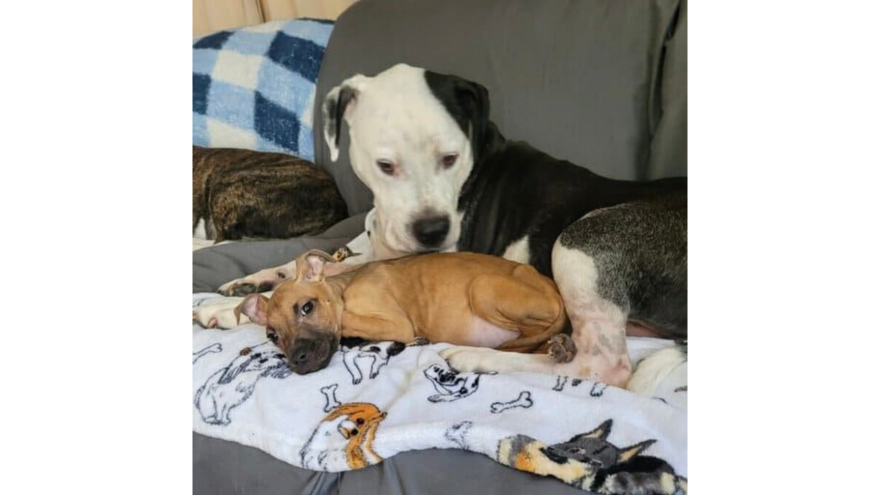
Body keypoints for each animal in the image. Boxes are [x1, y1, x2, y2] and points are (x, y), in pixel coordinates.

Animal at [195, 249, 569, 375]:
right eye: (273, 336)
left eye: (307, 307)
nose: (298, 361)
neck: (345, 286)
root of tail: (553, 288)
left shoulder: (396, 323)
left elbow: (343, 317)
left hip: (483, 287)